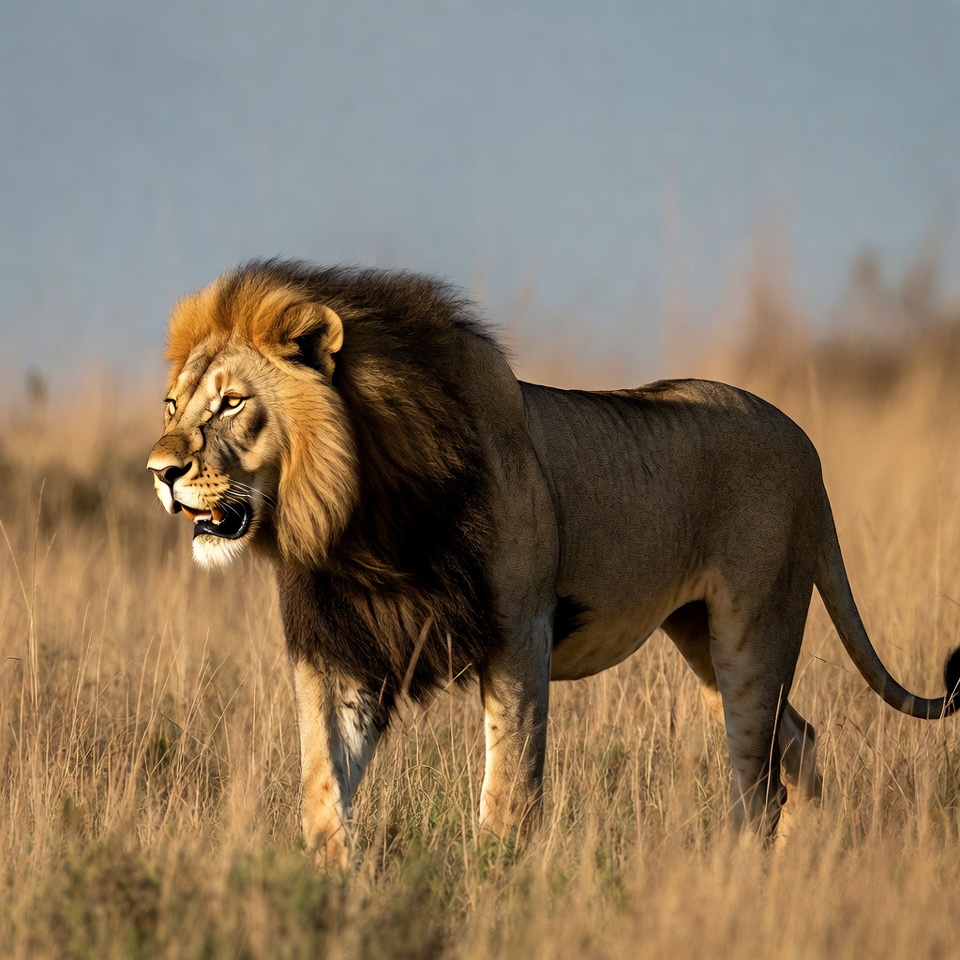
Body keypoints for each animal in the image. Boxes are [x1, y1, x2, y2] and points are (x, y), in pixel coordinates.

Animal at [148, 260, 960, 865]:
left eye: (231, 404)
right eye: (172, 405)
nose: (159, 471)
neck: (359, 520)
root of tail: (806, 444)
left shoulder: (520, 631)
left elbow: (509, 783)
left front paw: (493, 882)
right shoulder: (340, 648)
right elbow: (323, 782)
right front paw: (333, 883)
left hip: (753, 634)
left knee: (754, 777)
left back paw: (738, 870)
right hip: (702, 638)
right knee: (796, 740)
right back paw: (799, 861)